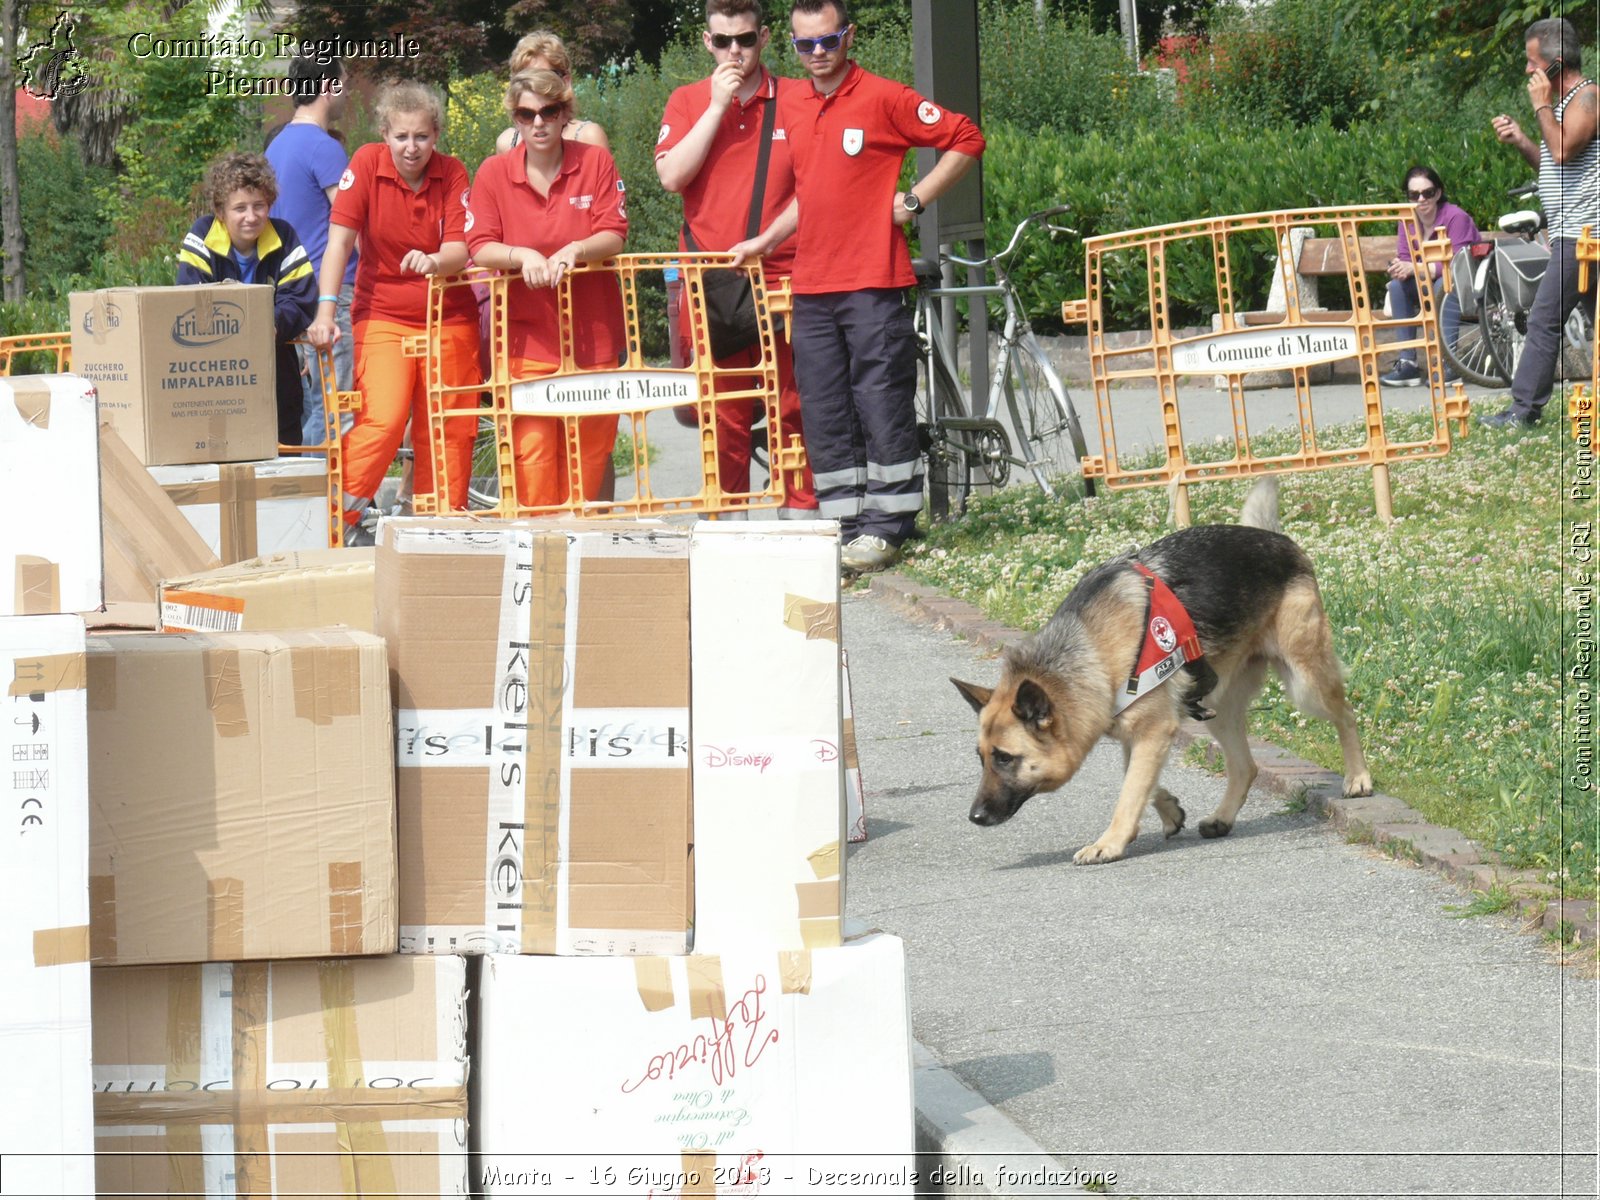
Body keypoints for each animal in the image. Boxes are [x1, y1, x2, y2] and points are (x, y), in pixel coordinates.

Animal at [947, 480, 1376, 864]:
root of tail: (1275, 538)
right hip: (1216, 707)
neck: (1092, 650)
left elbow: (1129, 791)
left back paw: (1358, 778)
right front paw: (1168, 809)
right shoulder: (1138, 730)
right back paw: (1222, 818)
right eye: (981, 758)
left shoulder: (1155, 729)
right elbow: (1136, 780)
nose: (974, 817)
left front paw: (1109, 843)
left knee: (1346, 713)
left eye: (1005, 758)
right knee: (1246, 766)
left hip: (1305, 682)